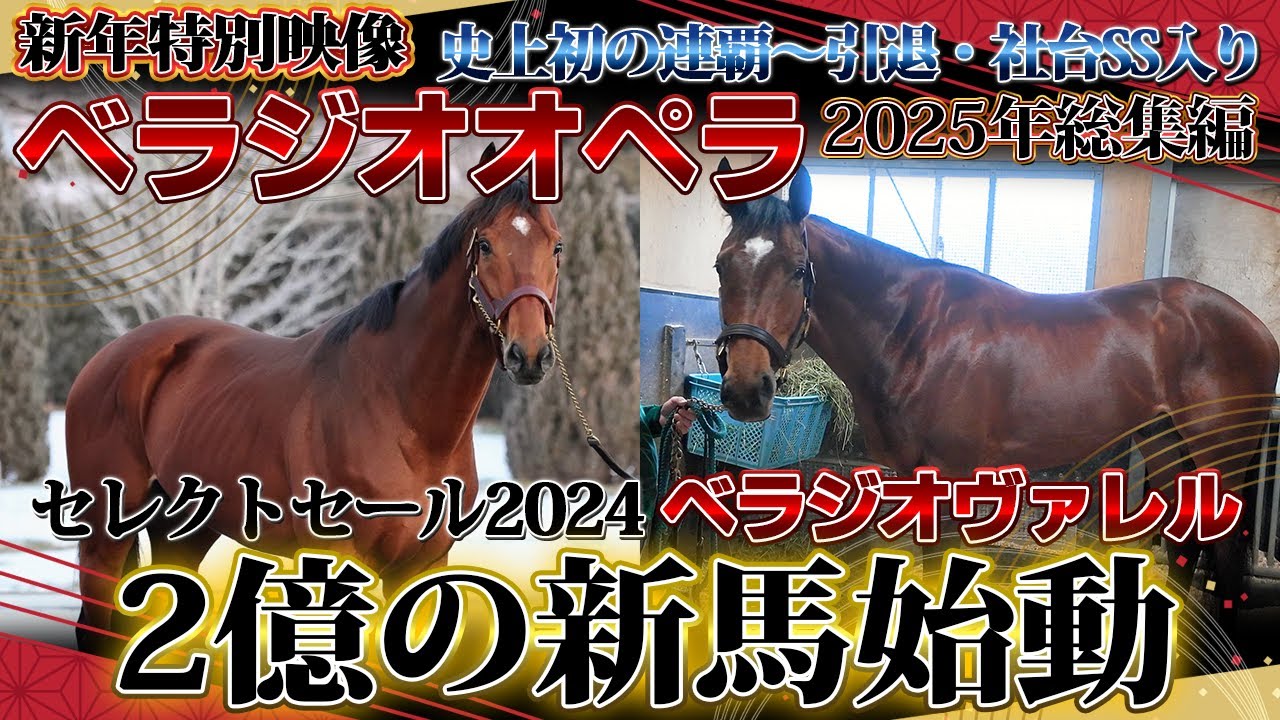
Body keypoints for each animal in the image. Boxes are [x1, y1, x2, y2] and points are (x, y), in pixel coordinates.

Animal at [65, 150, 563, 652]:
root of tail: (108, 357)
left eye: (556, 247)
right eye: (486, 245)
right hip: (105, 535)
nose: (529, 354)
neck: (404, 416)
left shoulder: (422, 563)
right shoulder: (337, 556)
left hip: (185, 529)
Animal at [710, 159, 1279, 600]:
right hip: (1166, 443)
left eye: (796, 268)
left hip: (1218, 451)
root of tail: (1256, 327)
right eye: (720, 267)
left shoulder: (951, 475)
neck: (915, 334)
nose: (746, 390)